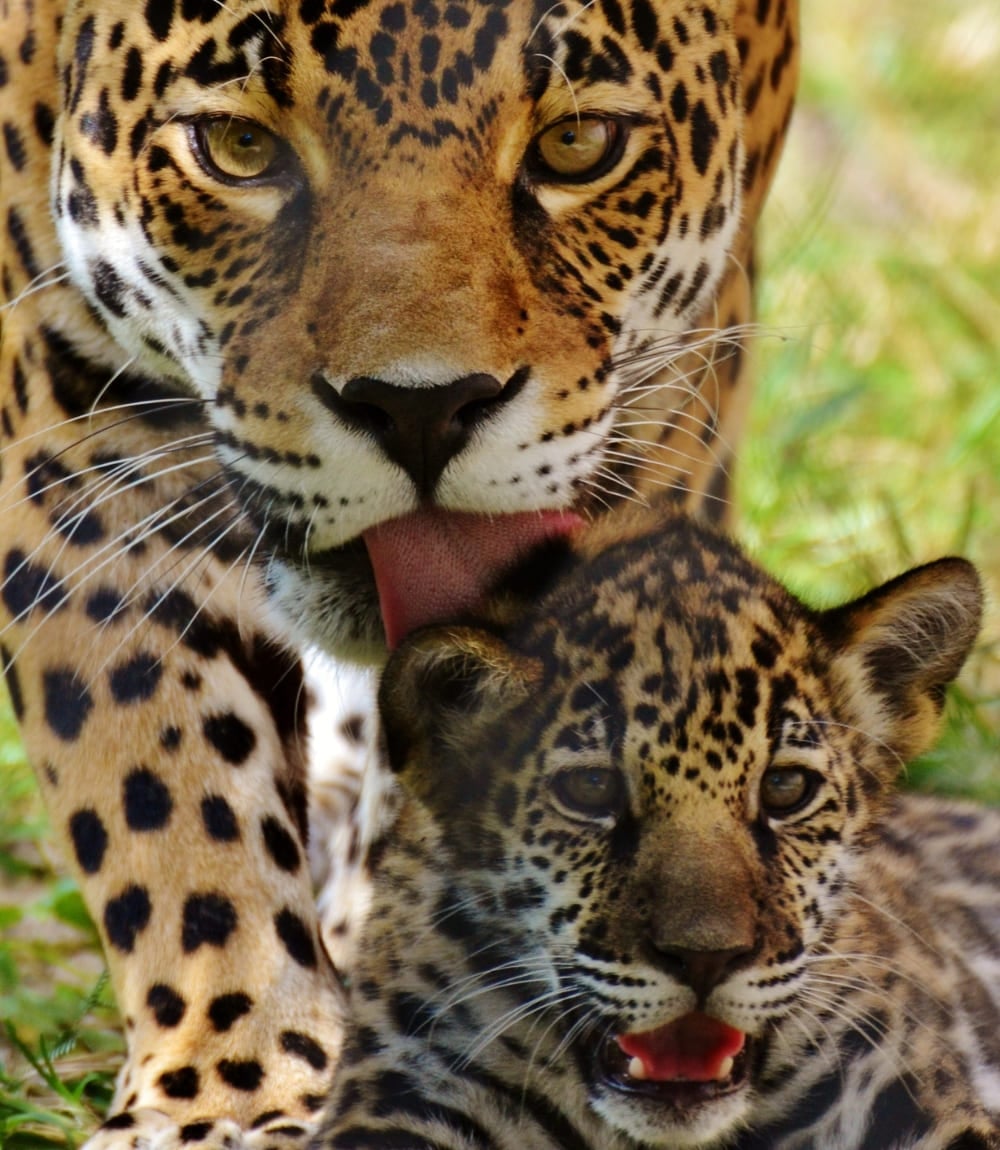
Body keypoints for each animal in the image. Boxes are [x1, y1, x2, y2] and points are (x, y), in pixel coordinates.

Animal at [0, 0, 798, 1144]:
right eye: (238, 148)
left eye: (577, 144)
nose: (420, 407)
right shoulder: (85, 451)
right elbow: (169, 800)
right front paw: (235, 1089)